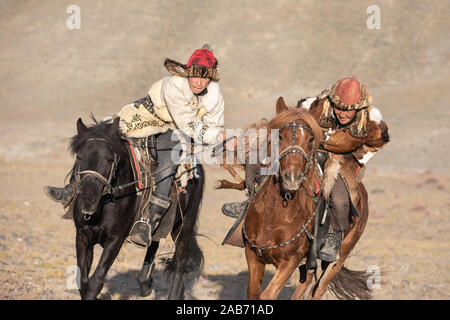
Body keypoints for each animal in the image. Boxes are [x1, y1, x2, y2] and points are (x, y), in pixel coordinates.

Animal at [69, 117, 205, 300]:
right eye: (79, 156)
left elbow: (94, 284)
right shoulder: (83, 236)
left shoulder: (115, 240)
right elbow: (82, 283)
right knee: (153, 245)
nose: (88, 199)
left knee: (179, 265)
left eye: (110, 159)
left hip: (184, 226)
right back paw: (145, 283)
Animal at [234, 98, 370, 300]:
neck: (274, 217)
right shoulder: (253, 255)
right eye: (280, 136)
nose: (292, 177)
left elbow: (267, 295)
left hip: (338, 258)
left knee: (318, 288)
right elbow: (253, 293)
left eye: (311, 139)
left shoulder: (290, 261)